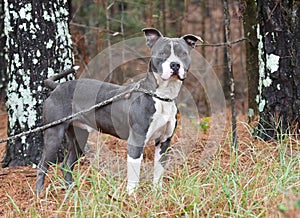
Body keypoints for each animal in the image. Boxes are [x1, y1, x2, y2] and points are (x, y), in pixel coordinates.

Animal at [36, 27, 203, 194]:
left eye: (183, 54)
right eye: (162, 53)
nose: (175, 65)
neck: (162, 96)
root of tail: (57, 86)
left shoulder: (164, 142)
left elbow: (159, 173)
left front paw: (157, 194)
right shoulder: (136, 142)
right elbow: (134, 176)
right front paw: (131, 197)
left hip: (79, 135)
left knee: (67, 164)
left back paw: (71, 191)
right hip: (54, 133)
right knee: (42, 165)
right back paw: (39, 195)